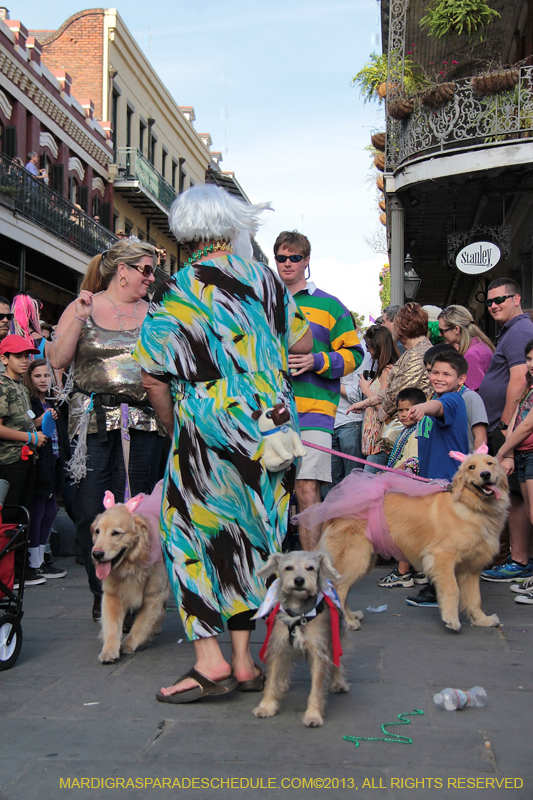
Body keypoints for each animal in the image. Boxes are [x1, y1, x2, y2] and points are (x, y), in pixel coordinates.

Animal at [251, 552, 348, 728]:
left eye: (310, 568)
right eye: (288, 567)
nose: (299, 580)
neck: (299, 614)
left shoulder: (319, 651)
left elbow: (316, 687)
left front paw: (313, 715)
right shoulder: (278, 647)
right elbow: (272, 679)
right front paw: (266, 706)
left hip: (335, 637)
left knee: (336, 661)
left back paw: (338, 682)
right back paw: (282, 684)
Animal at [296, 450, 508, 632]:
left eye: (490, 463)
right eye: (471, 467)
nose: (486, 474)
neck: (471, 505)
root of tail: (333, 506)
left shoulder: (472, 567)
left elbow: (475, 599)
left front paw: (482, 619)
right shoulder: (442, 558)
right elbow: (452, 590)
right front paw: (452, 620)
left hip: (363, 560)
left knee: (342, 591)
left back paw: (351, 615)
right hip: (356, 558)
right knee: (338, 589)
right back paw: (347, 622)